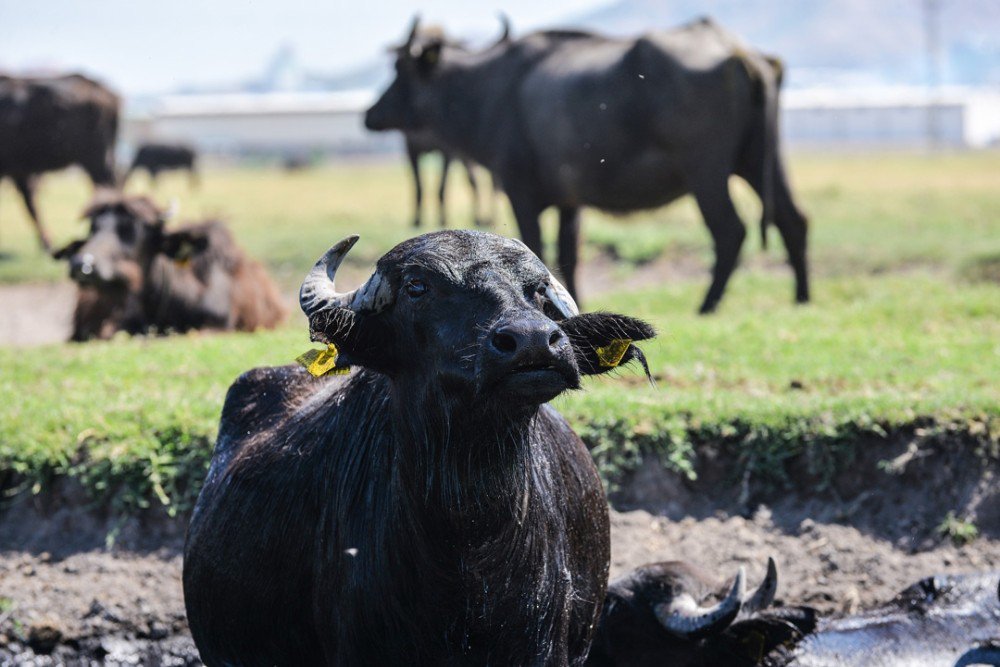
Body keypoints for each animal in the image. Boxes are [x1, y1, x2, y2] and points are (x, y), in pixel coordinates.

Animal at [368, 17, 812, 314]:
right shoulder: (571, 202)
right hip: (761, 159)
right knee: (793, 219)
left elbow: (535, 248)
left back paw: (708, 303)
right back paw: (802, 296)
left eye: (400, 69)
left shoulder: (520, 191)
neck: (489, 87)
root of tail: (740, 53)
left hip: (708, 173)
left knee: (730, 231)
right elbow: (568, 255)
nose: (371, 114)